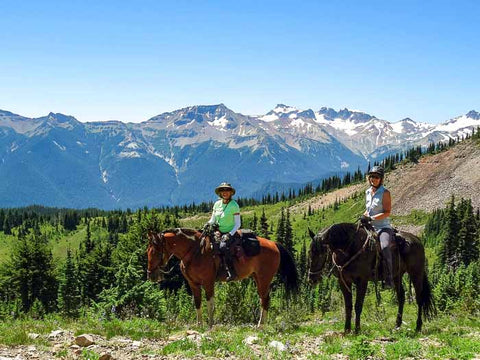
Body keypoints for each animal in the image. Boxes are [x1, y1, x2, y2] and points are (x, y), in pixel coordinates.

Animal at [146, 228, 298, 326]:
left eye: (155, 251)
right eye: (147, 251)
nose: (151, 275)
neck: (195, 252)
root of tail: (274, 244)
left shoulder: (208, 282)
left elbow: (210, 303)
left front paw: (211, 325)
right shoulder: (193, 284)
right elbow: (197, 303)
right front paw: (199, 325)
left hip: (264, 278)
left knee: (265, 299)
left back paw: (261, 326)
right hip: (257, 278)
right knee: (263, 298)